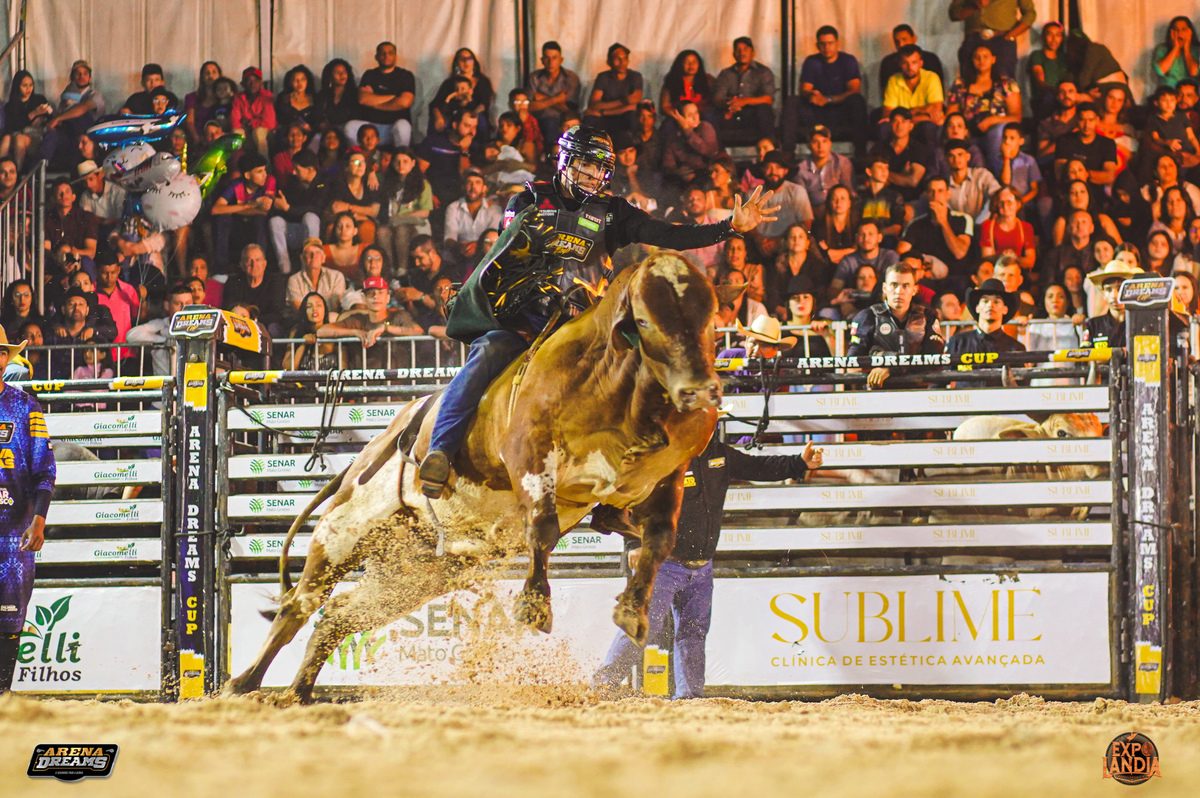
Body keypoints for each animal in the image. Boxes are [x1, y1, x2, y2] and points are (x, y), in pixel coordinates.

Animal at [224, 251, 737, 702]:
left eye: (709, 318)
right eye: (645, 321)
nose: (699, 390)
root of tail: (371, 448)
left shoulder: (667, 475)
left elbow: (659, 540)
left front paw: (632, 611)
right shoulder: (528, 451)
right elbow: (543, 527)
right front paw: (534, 604)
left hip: (412, 574)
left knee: (339, 615)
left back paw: (297, 693)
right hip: (343, 530)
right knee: (299, 606)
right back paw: (244, 684)